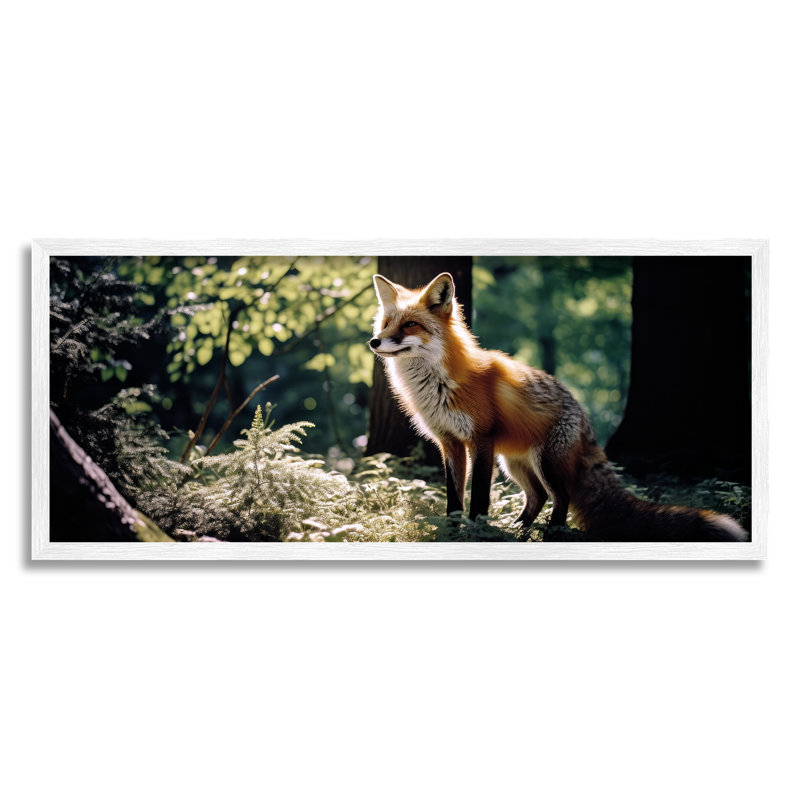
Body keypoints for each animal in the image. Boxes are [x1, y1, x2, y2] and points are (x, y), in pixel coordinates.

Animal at [368, 271, 749, 542]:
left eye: (410, 325)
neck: (439, 384)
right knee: (537, 497)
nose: (374, 341)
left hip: (544, 461)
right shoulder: (450, 443)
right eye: (386, 324)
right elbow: (453, 501)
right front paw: (452, 534)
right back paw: (519, 530)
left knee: (560, 497)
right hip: (515, 463)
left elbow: (478, 500)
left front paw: (476, 533)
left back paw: (550, 533)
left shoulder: (481, 440)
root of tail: (582, 413)